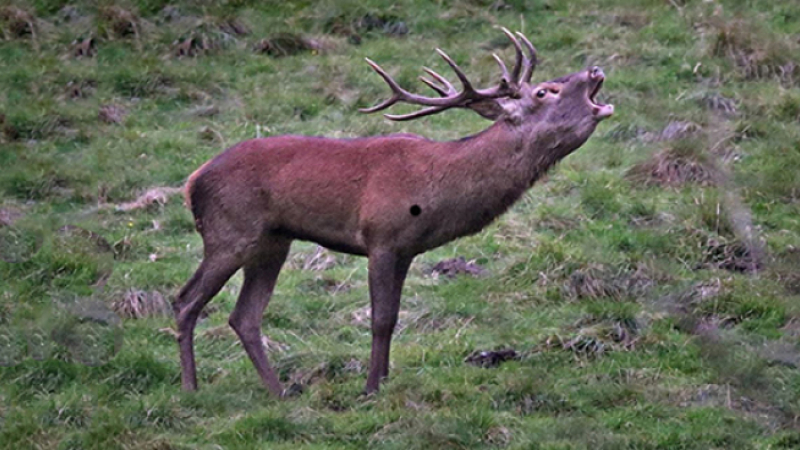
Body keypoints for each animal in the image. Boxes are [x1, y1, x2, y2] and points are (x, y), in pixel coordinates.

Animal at [173, 28, 614, 397]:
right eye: (545, 91)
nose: (595, 69)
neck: (438, 187)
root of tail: (191, 182)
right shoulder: (381, 237)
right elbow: (381, 318)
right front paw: (370, 389)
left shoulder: (406, 250)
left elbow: (395, 317)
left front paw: (383, 381)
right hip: (229, 232)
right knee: (186, 300)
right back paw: (191, 388)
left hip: (272, 242)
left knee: (245, 316)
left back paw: (279, 392)